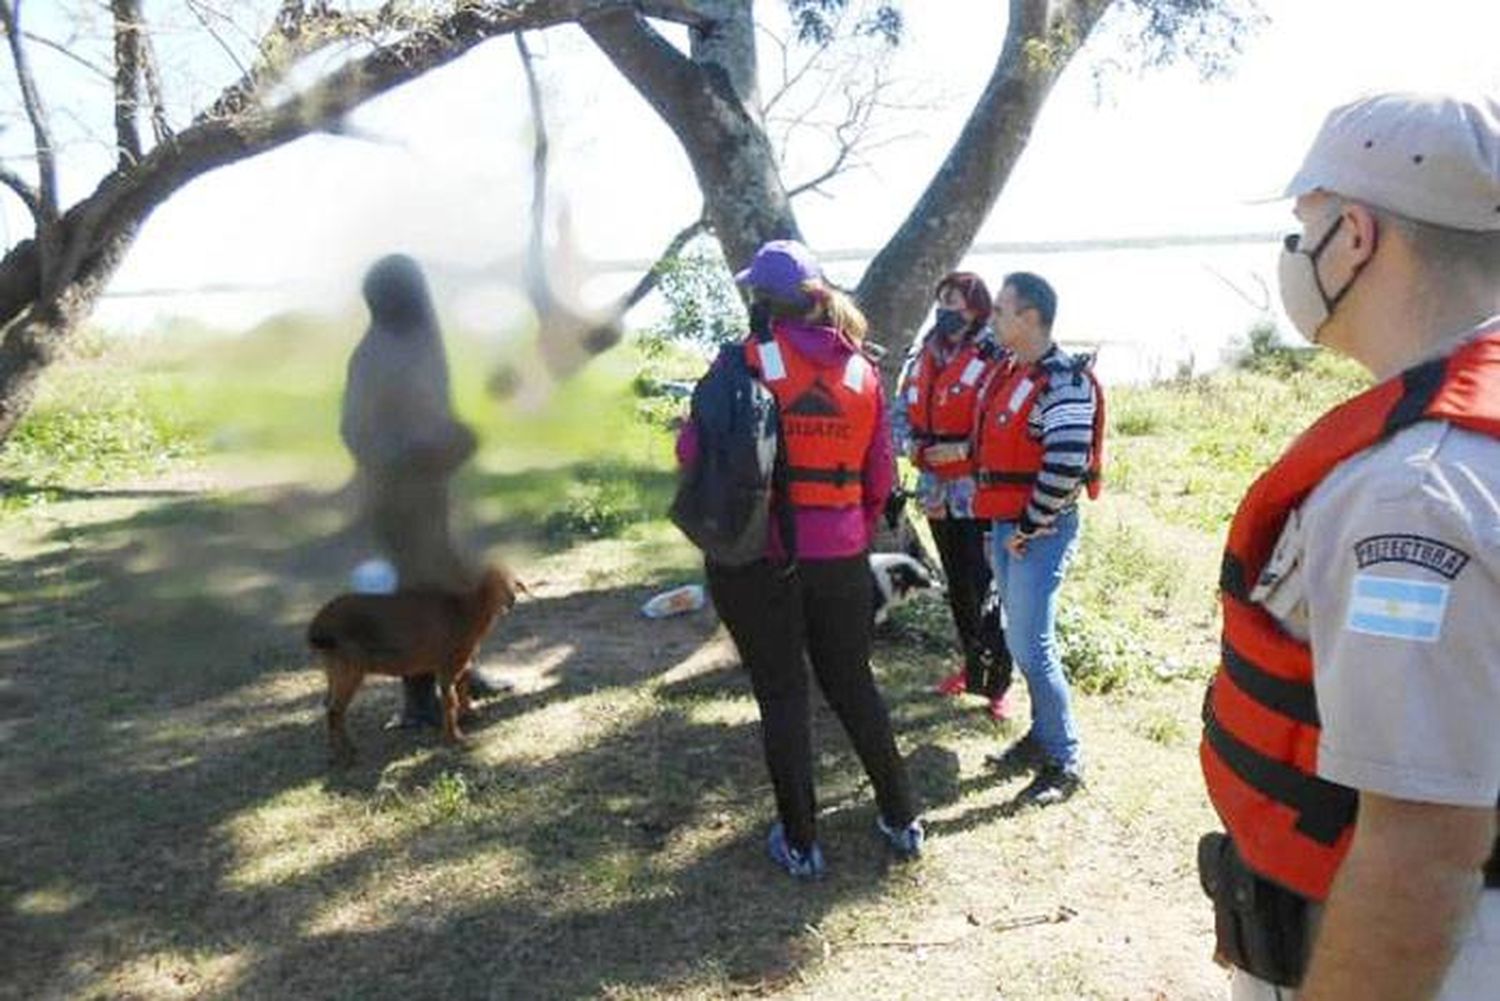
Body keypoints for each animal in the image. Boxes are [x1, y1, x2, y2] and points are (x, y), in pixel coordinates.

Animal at [304, 564, 528, 759]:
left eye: (512, 580)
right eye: (492, 582)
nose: (511, 600)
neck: (465, 610)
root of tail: (317, 626)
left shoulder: (462, 662)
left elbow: (462, 691)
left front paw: (471, 715)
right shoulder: (446, 665)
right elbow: (450, 701)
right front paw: (454, 737)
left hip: (333, 668)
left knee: (329, 706)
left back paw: (339, 750)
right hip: (349, 668)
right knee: (335, 710)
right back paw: (344, 754)